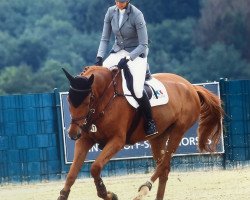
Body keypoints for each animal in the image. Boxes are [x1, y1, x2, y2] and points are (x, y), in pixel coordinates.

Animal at [57, 66, 224, 200]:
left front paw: (107, 194)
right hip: (158, 137)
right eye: (69, 101)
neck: (105, 100)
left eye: (87, 101)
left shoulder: (117, 141)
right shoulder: (84, 141)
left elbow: (95, 167)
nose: (73, 134)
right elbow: (72, 174)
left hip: (178, 131)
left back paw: (144, 189)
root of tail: (191, 87)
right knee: (164, 168)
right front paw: (63, 195)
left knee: (163, 165)